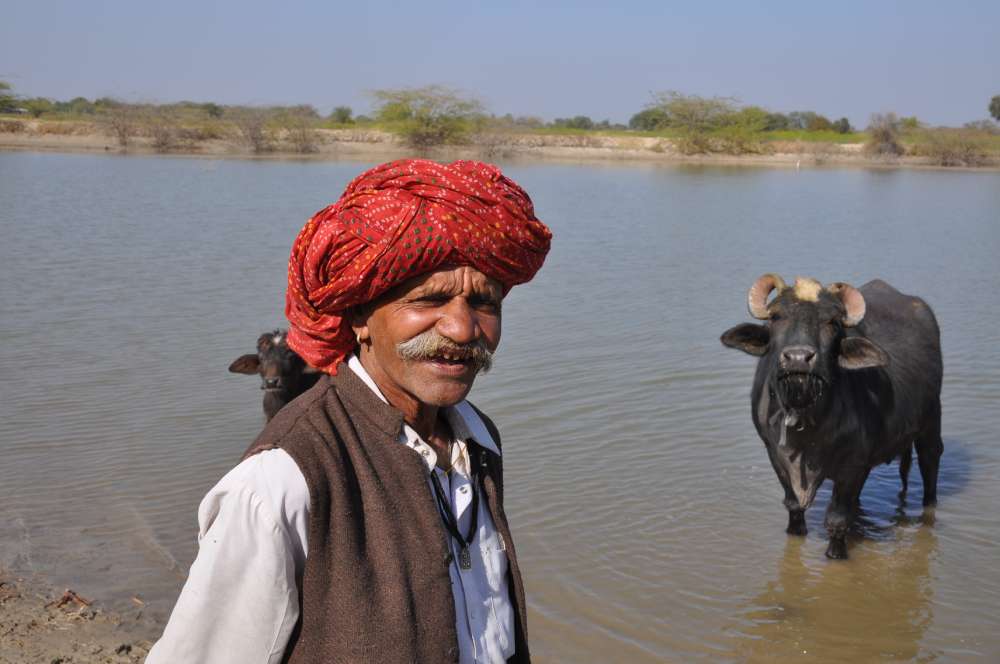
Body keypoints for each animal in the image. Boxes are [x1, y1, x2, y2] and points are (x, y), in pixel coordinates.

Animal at [724, 274, 940, 560]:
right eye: (776, 317)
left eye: (831, 322)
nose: (798, 358)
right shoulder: (774, 453)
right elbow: (793, 505)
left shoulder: (852, 463)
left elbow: (837, 519)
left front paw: (836, 555)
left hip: (932, 418)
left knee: (930, 463)